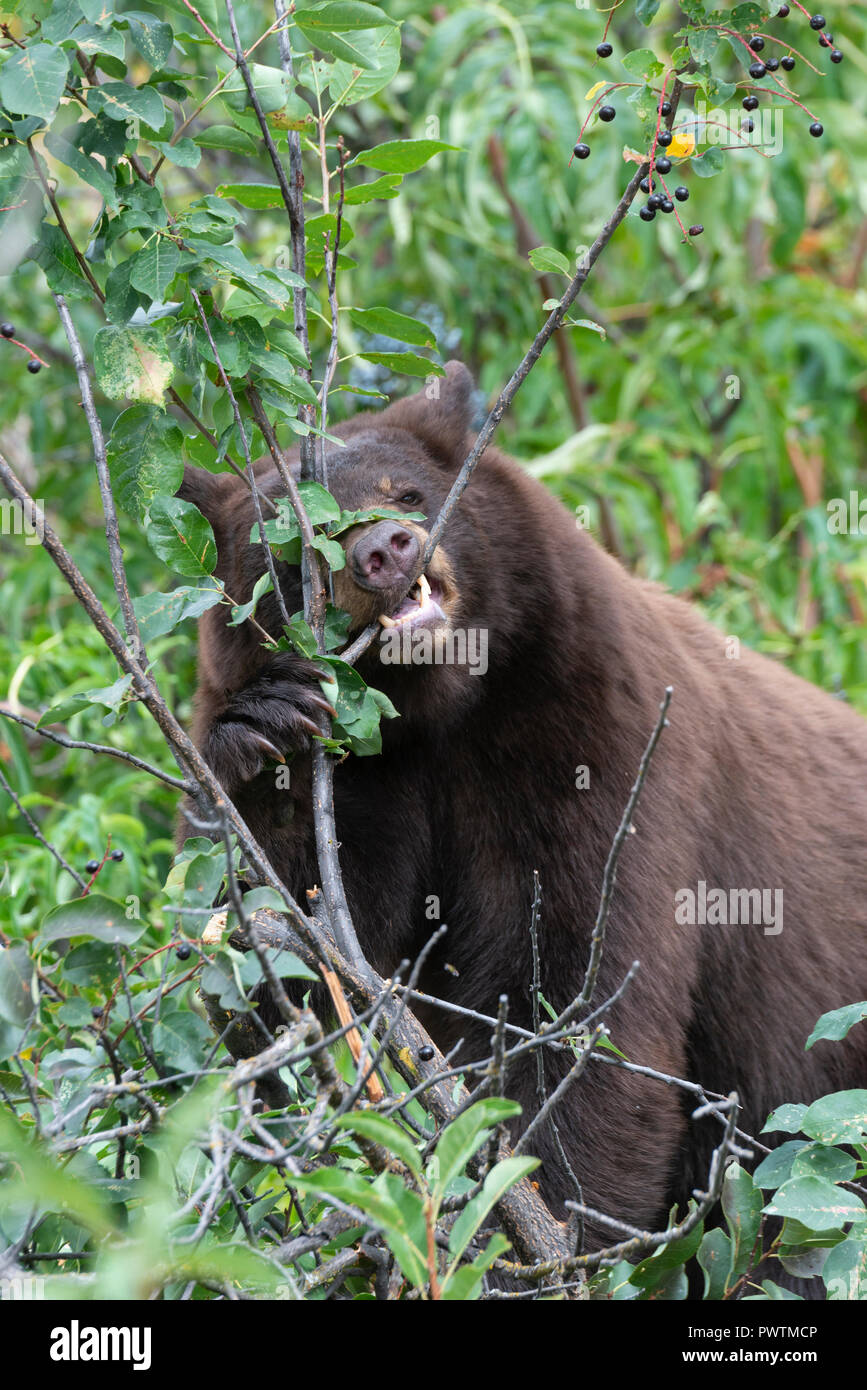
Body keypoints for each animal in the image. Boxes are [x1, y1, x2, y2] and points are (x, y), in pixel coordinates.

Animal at [178, 360, 867, 1271]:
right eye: (295, 546)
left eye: (407, 494)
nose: (384, 549)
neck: (436, 711)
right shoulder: (372, 780)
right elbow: (286, 968)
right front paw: (264, 732)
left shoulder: (595, 733)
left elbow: (572, 990)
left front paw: (540, 1239)